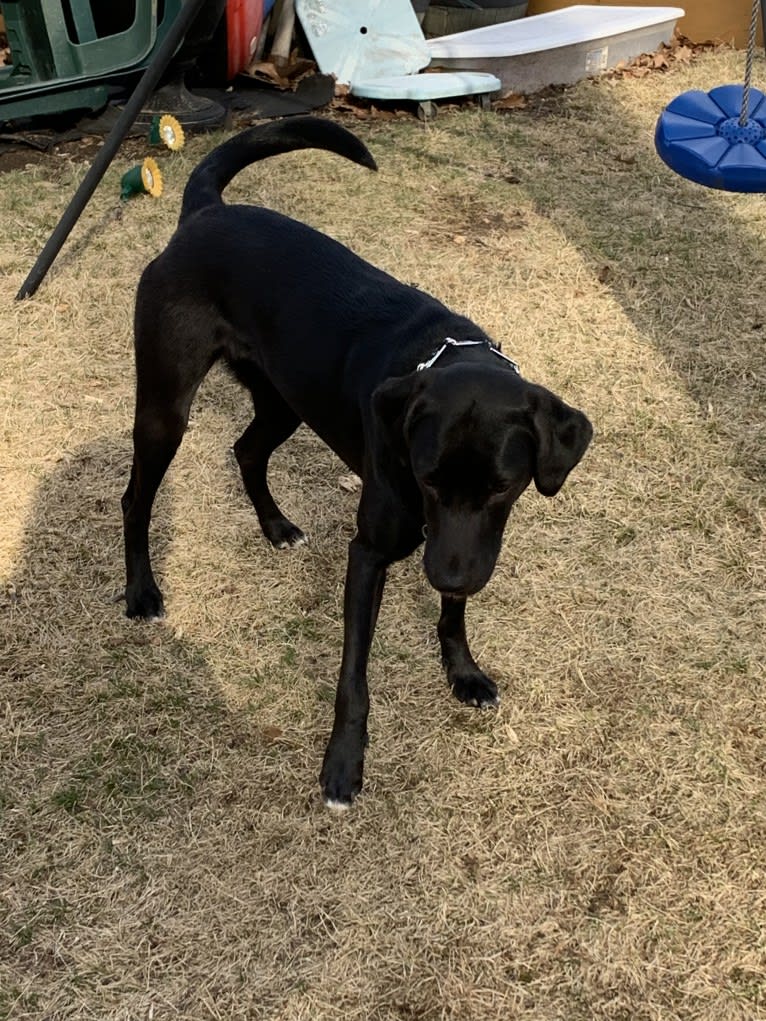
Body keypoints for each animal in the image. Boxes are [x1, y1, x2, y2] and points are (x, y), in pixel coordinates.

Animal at [121, 117, 592, 804]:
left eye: (504, 488)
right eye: (425, 478)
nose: (445, 576)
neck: (440, 353)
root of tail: (205, 212)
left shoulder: (464, 545)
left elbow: (454, 617)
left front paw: (463, 672)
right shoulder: (370, 554)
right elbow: (354, 676)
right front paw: (343, 762)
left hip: (283, 400)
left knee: (246, 449)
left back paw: (276, 527)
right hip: (165, 407)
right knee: (136, 496)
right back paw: (141, 591)